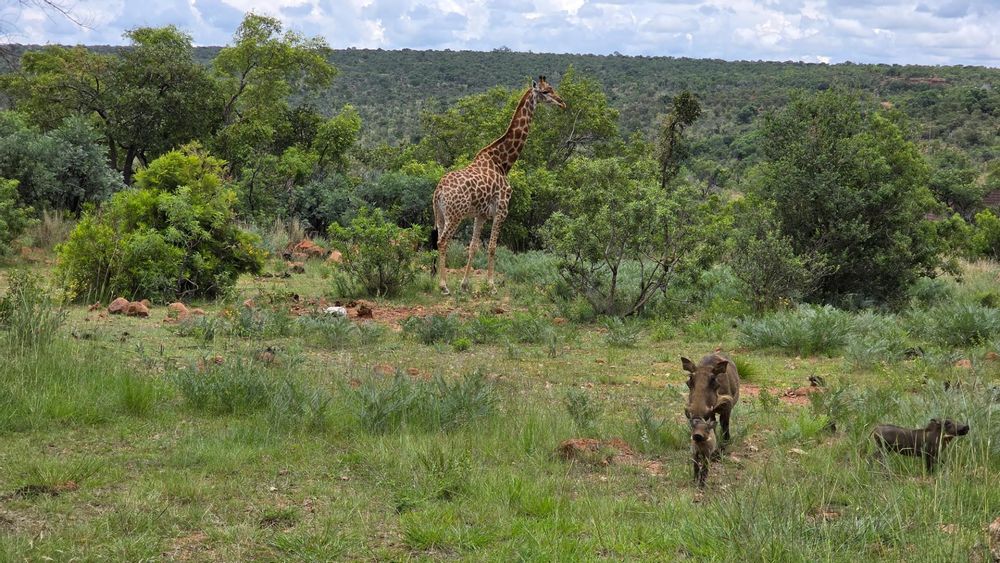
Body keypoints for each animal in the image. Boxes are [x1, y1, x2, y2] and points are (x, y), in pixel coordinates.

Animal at [432, 75, 566, 294]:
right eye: (546, 91)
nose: (562, 103)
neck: (502, 163)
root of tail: (438, 192)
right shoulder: (502, 210)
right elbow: (493, 247)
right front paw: (491, 285)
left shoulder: (480, 214)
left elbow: (473, 247)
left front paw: (464, 284)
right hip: (455, 215)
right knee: (443, 242)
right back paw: (443, 286)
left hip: (441, 216)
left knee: (438, 241)